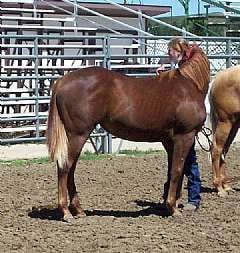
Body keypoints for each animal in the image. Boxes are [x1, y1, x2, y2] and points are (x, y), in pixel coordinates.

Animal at [47, 47, 210, 221]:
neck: (190, 85)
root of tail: (63, 81)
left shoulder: (169, 141)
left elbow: (174, 171)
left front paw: (171, 205)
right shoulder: (184, 136)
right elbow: (177, 170)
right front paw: (173, 207)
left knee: (70, 169)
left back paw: (78, 209)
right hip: (78, 135)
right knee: (65, 167)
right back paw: (66, 212)